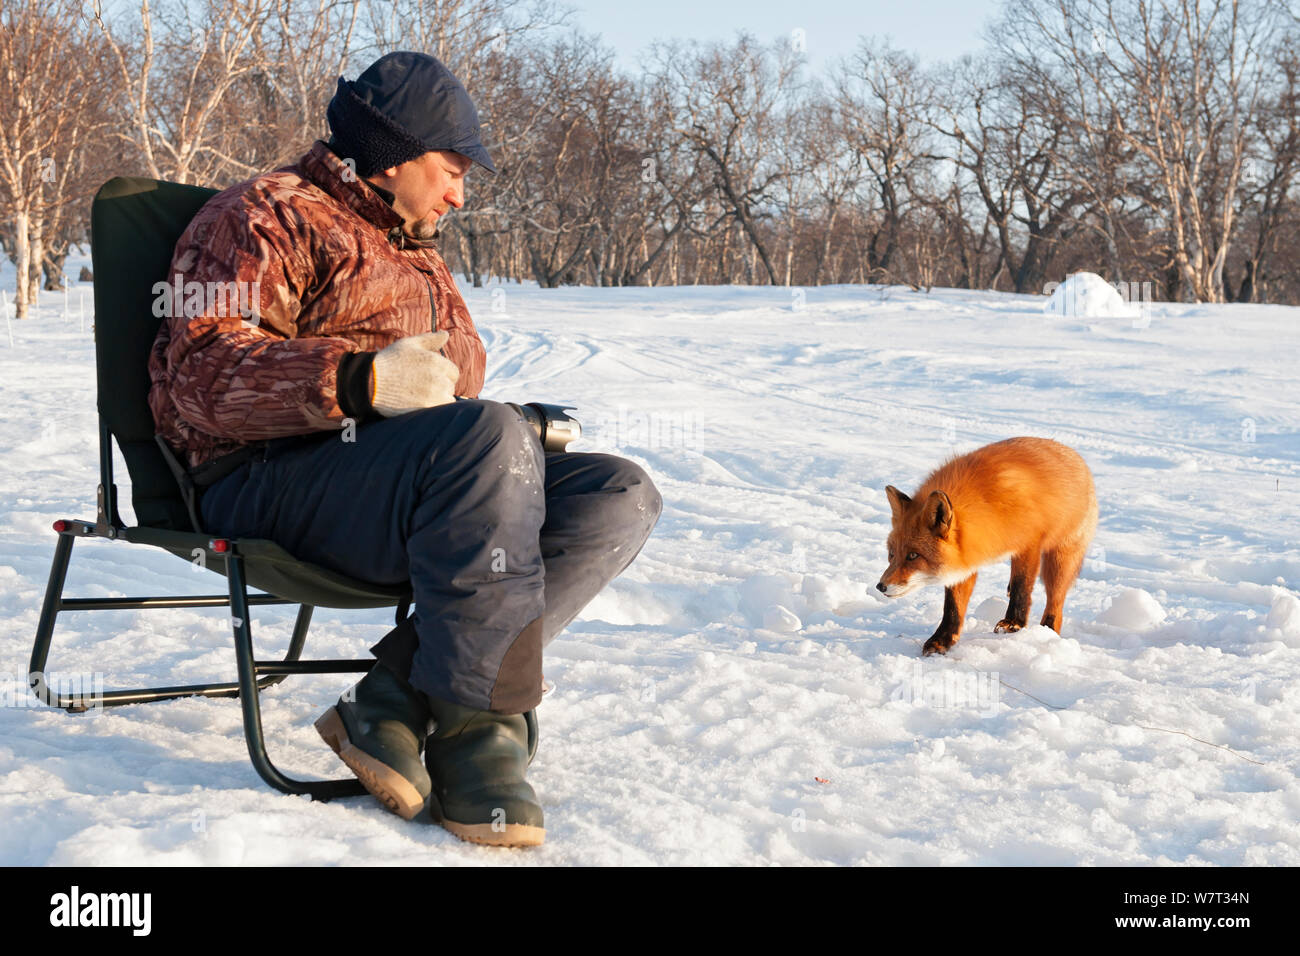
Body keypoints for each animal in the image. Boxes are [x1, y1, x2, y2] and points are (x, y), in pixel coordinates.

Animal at [873, 439, 1097, 658]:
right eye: (891, 554)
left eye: (913, 555)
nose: (880, 586)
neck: (988, 505)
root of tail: (1075, 456)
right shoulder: (965, 558)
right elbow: (953, 607)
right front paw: (942, 640)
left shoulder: (1028, 545)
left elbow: (1022, 587)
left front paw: (1014, 623)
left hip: (1059, 562)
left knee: (1055, 603)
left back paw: (1047, 632)